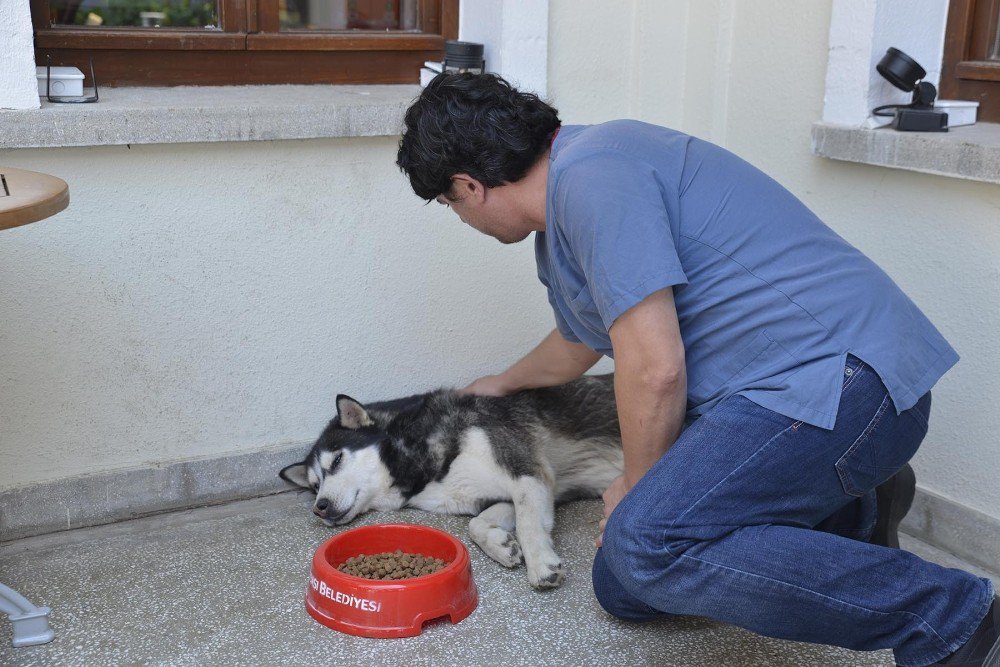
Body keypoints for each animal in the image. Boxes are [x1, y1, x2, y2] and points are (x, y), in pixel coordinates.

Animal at [282, 376, 620, 588]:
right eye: (314, 485)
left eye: (337, 460)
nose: (319, 507)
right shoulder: (498, 495)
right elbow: (476, 525)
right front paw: (501, 546)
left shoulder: (529, 472)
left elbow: (527, 523)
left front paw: (540, 563)